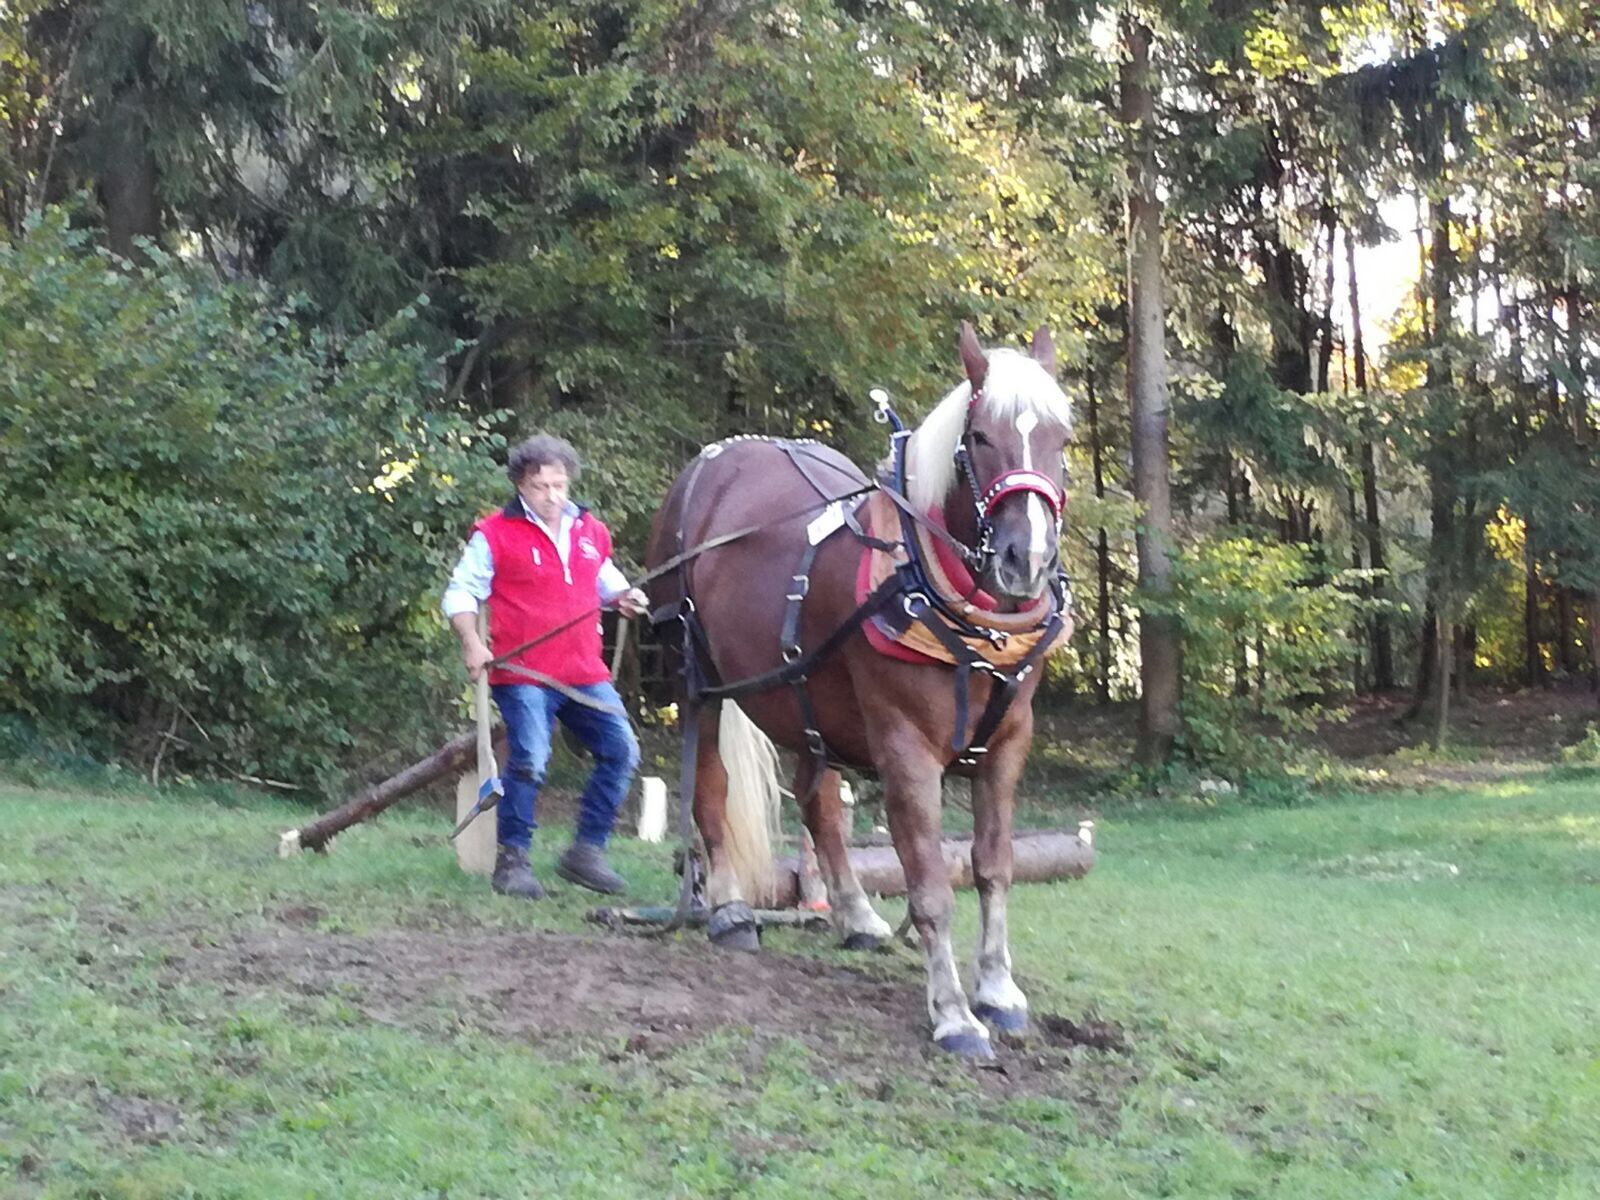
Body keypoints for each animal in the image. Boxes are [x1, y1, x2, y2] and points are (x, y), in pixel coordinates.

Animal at [643, 323, 1072, 1058]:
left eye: (1062, 438)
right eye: (980, 437)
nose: (1029, 559)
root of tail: (722, 456)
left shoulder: (1008, 744)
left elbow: (993, 867)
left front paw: (998, 991)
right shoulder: (905, 749)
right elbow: (929, 885)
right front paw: (954, 1014)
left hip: (804, 694)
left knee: (820, 804)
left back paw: (855, 914)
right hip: (698, 676)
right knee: (710, 788)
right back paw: (728, 909)